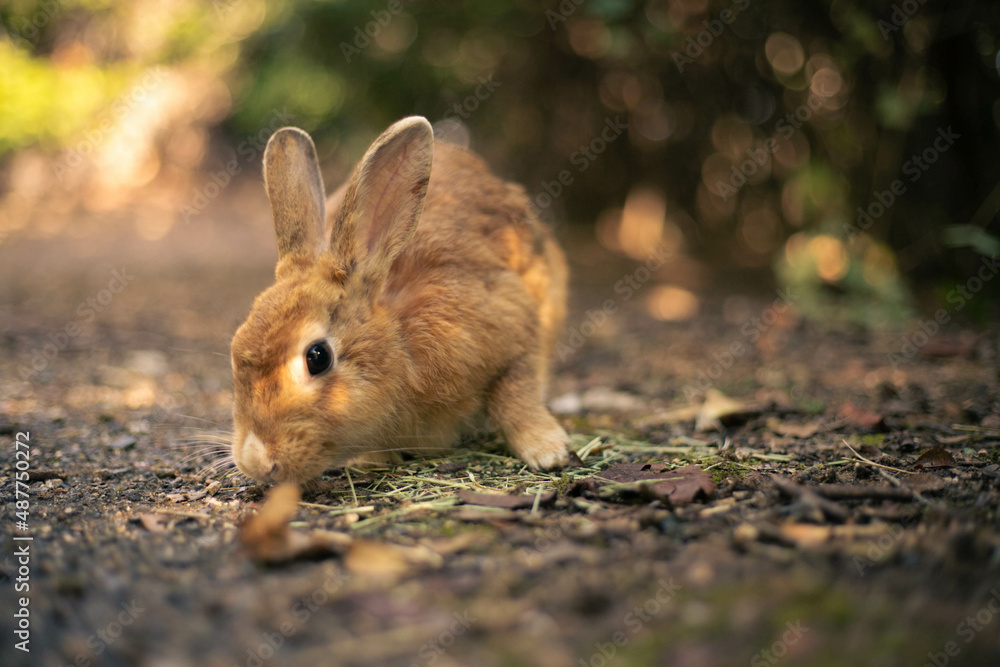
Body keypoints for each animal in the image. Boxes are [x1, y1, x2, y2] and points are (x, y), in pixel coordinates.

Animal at [229, 116, 571, 484]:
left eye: (318, 357)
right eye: (235, 346)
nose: (255, 462)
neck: (400, 344)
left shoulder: (512, 329)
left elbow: (515, 395)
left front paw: (548, 451)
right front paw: (371, 460)